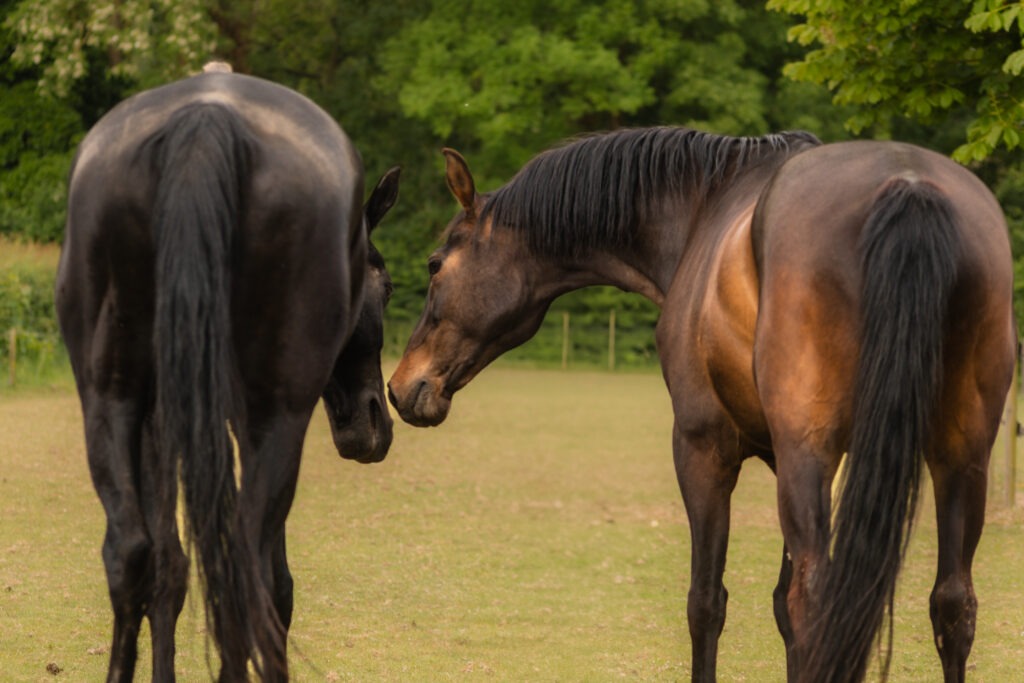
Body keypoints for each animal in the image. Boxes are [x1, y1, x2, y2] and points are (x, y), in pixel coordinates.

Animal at [56, 71, 399, 681]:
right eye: (386, 288)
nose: (373, 426)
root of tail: (206, 119)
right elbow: (274, 583)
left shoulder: (159, 424)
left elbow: (169, 566)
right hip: (277, 418)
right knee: (243, 565)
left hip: (107, 399)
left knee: (131, 553)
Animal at [387, 128, 1015, 683]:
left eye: (435, 265)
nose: (399, 386)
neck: (704, 212)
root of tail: (907, 185)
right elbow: (780, 609)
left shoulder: (704, 447)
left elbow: (708, 602)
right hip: (961, 457)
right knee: (950, 604)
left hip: (812, 454)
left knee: (817, 600)